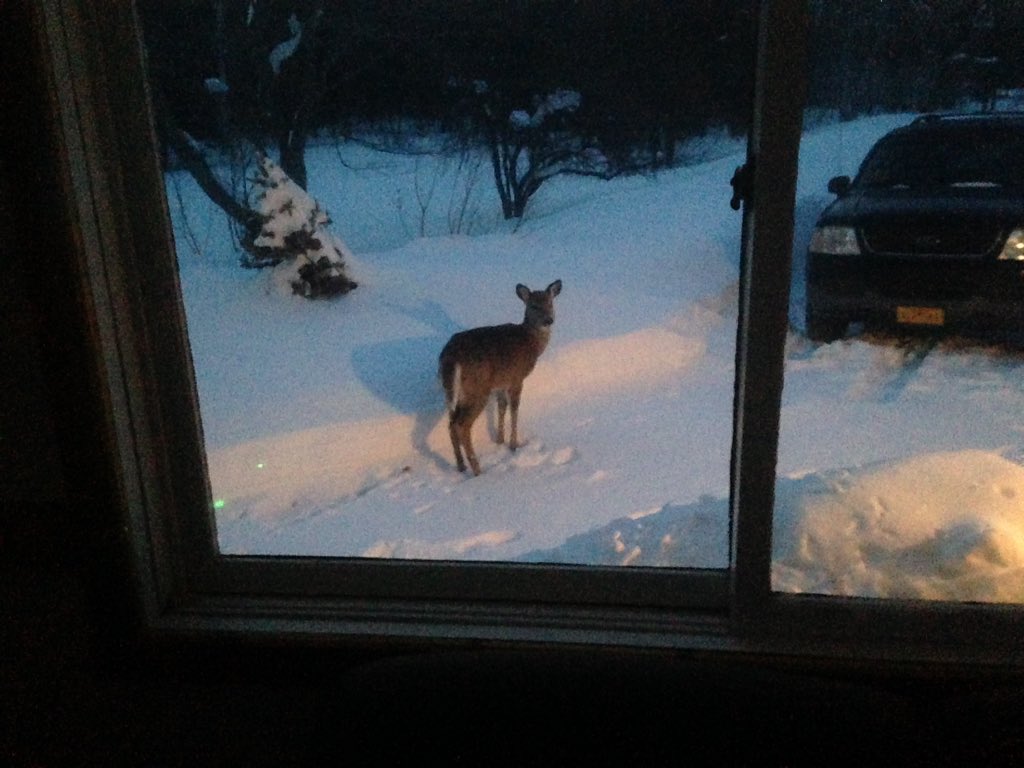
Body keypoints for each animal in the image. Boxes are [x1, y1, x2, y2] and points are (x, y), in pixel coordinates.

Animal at [438, 280, 562, 476]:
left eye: (550, 303)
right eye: (533, 305)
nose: (548, 320)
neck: (531, 344)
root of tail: (451, 355)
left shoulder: (500, 382)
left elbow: (502, 406)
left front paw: (499, 440)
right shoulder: (516, 377)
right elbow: (514, 408)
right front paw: (513, 445)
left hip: (452, 390)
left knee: (451, 423)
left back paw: (461, 465)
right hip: (477, 388)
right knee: (461, 425)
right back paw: (477, 470)